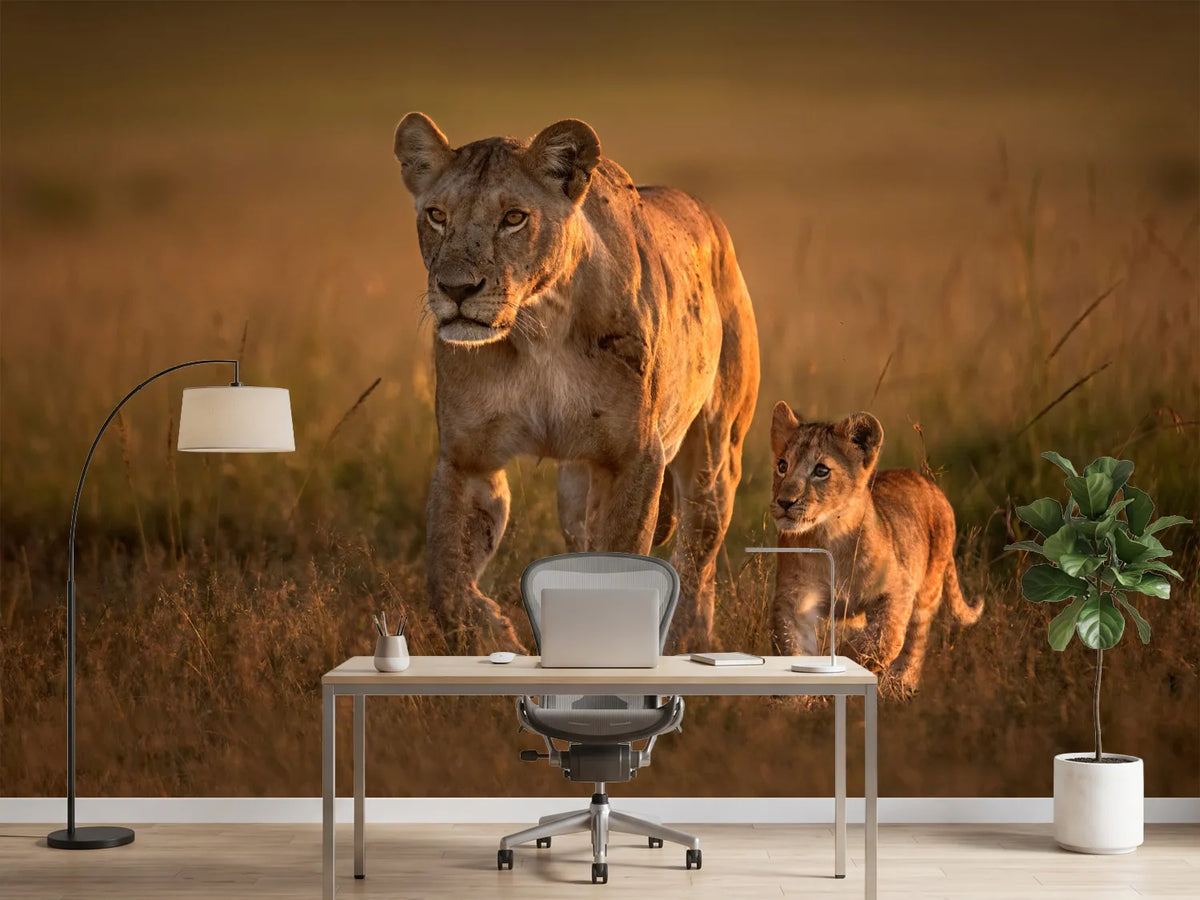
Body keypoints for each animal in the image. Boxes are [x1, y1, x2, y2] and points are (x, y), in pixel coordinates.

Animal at [393, 113, 760, 652]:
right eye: (437, 215)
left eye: (514, 218)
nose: (456, 289)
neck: (538, 328)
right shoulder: (466, 458)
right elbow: (445, 577)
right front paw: (491, 635)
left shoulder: (634, 456)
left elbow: (621, 568)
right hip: (575, 491)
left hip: (715, 451)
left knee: (700, 553)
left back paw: (689, 641)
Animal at [768, 403, 982, 689]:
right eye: (782, 465)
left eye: (821, 471)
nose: (784, 502)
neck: (829, 536)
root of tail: (928, 482)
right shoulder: (795, 600)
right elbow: (792, 646)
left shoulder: (898, 588)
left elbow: (885, 636)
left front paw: (847, 657)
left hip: (928, 589)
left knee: (915, 643)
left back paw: (901, 685)